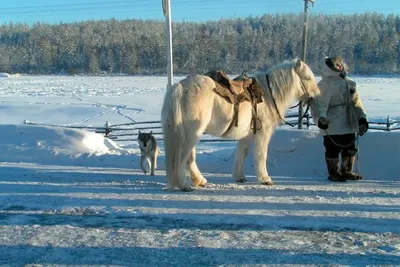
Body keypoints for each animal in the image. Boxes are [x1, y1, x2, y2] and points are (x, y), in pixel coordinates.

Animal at [161, 59, 320, 192]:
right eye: (307, 78)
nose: (317, 97)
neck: (268, 95)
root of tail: (180, 87)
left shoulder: (247, 135)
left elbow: (242, 153)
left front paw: (240, 177)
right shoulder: (263, 133)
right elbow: (261, 154)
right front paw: (265, 179)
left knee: (189, 158)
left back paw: (199, 180)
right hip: (191, 133)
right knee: (183, 157)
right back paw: (184, 185)